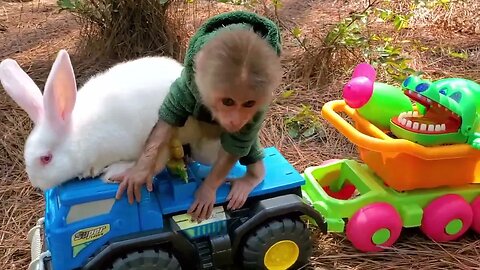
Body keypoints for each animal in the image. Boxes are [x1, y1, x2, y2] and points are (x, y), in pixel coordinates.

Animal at [113, 23, 282, 221]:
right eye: (228, 101)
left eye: (249, 104)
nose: (235, 119)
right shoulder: (188, 87)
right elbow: (171, 115)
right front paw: (141, 171)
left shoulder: (257, 108)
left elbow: (237, 142)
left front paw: (207, 190)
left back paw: (253, 175)